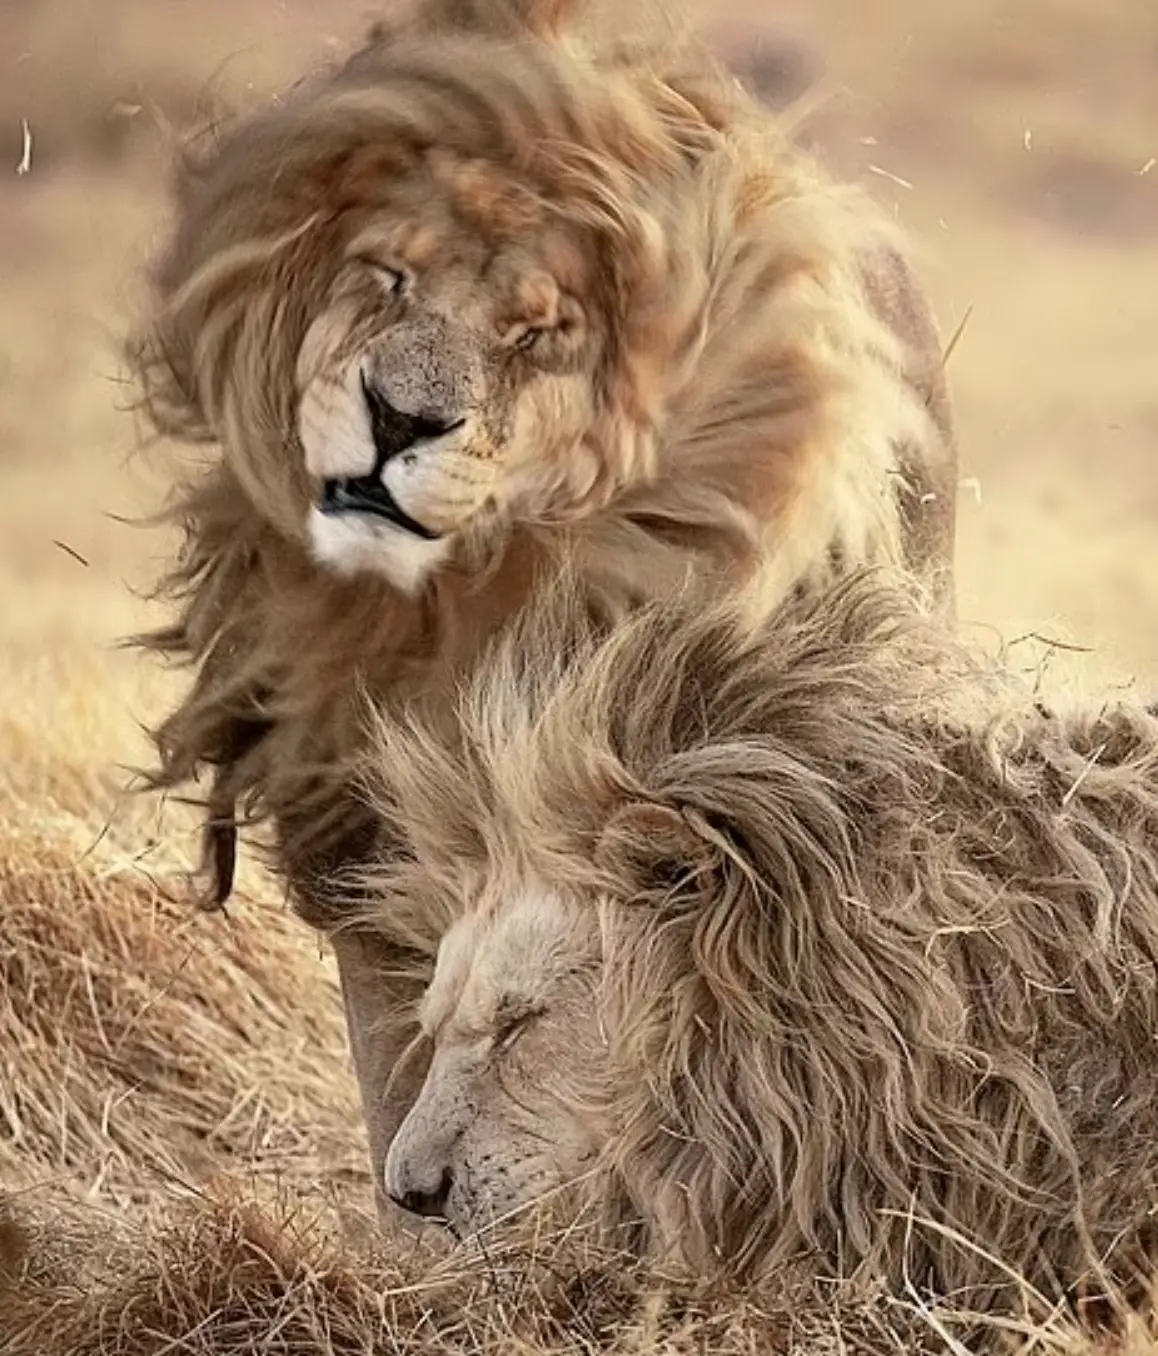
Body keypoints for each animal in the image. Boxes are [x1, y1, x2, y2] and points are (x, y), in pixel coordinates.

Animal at [131, 0, 954, 1187]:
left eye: (539, 337)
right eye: (389, 279)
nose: (397, 418)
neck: (460, 618)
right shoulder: (362, 850)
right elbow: (406, 1068)